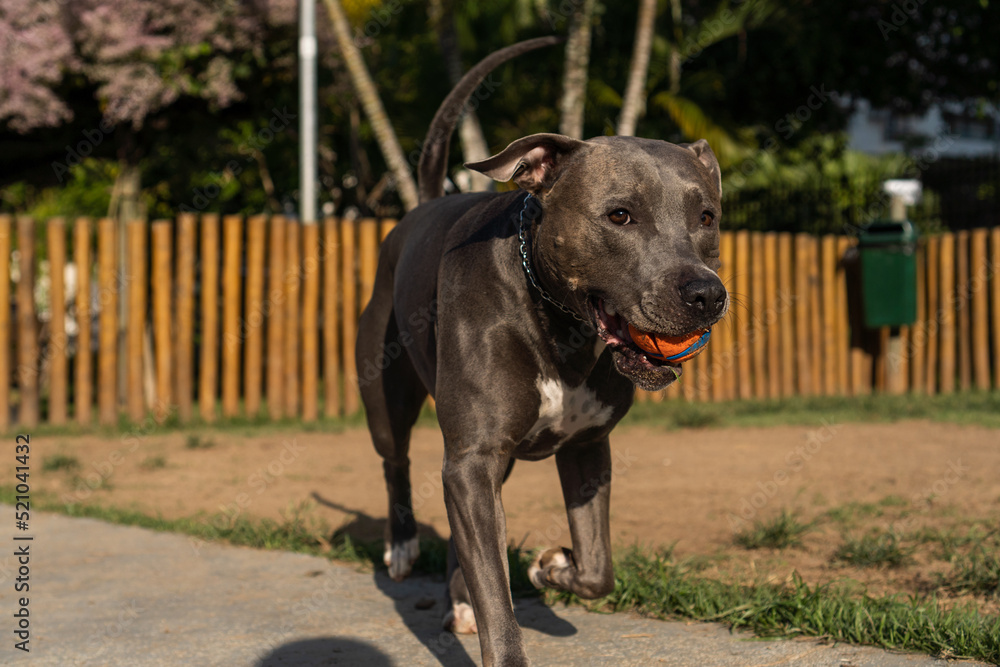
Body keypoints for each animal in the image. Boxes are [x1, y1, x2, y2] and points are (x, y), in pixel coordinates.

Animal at [356, 37, 732, 667]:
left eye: (706, 217)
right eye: (620, 214)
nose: (707, 295)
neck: (561, 327)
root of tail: (420, 209)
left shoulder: (583, 448)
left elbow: (597, 569)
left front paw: (552, 565)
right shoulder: (474, 455)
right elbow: (498, 600)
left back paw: (459, 597)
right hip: (389, 398)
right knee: (395, 461)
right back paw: (404, 548)